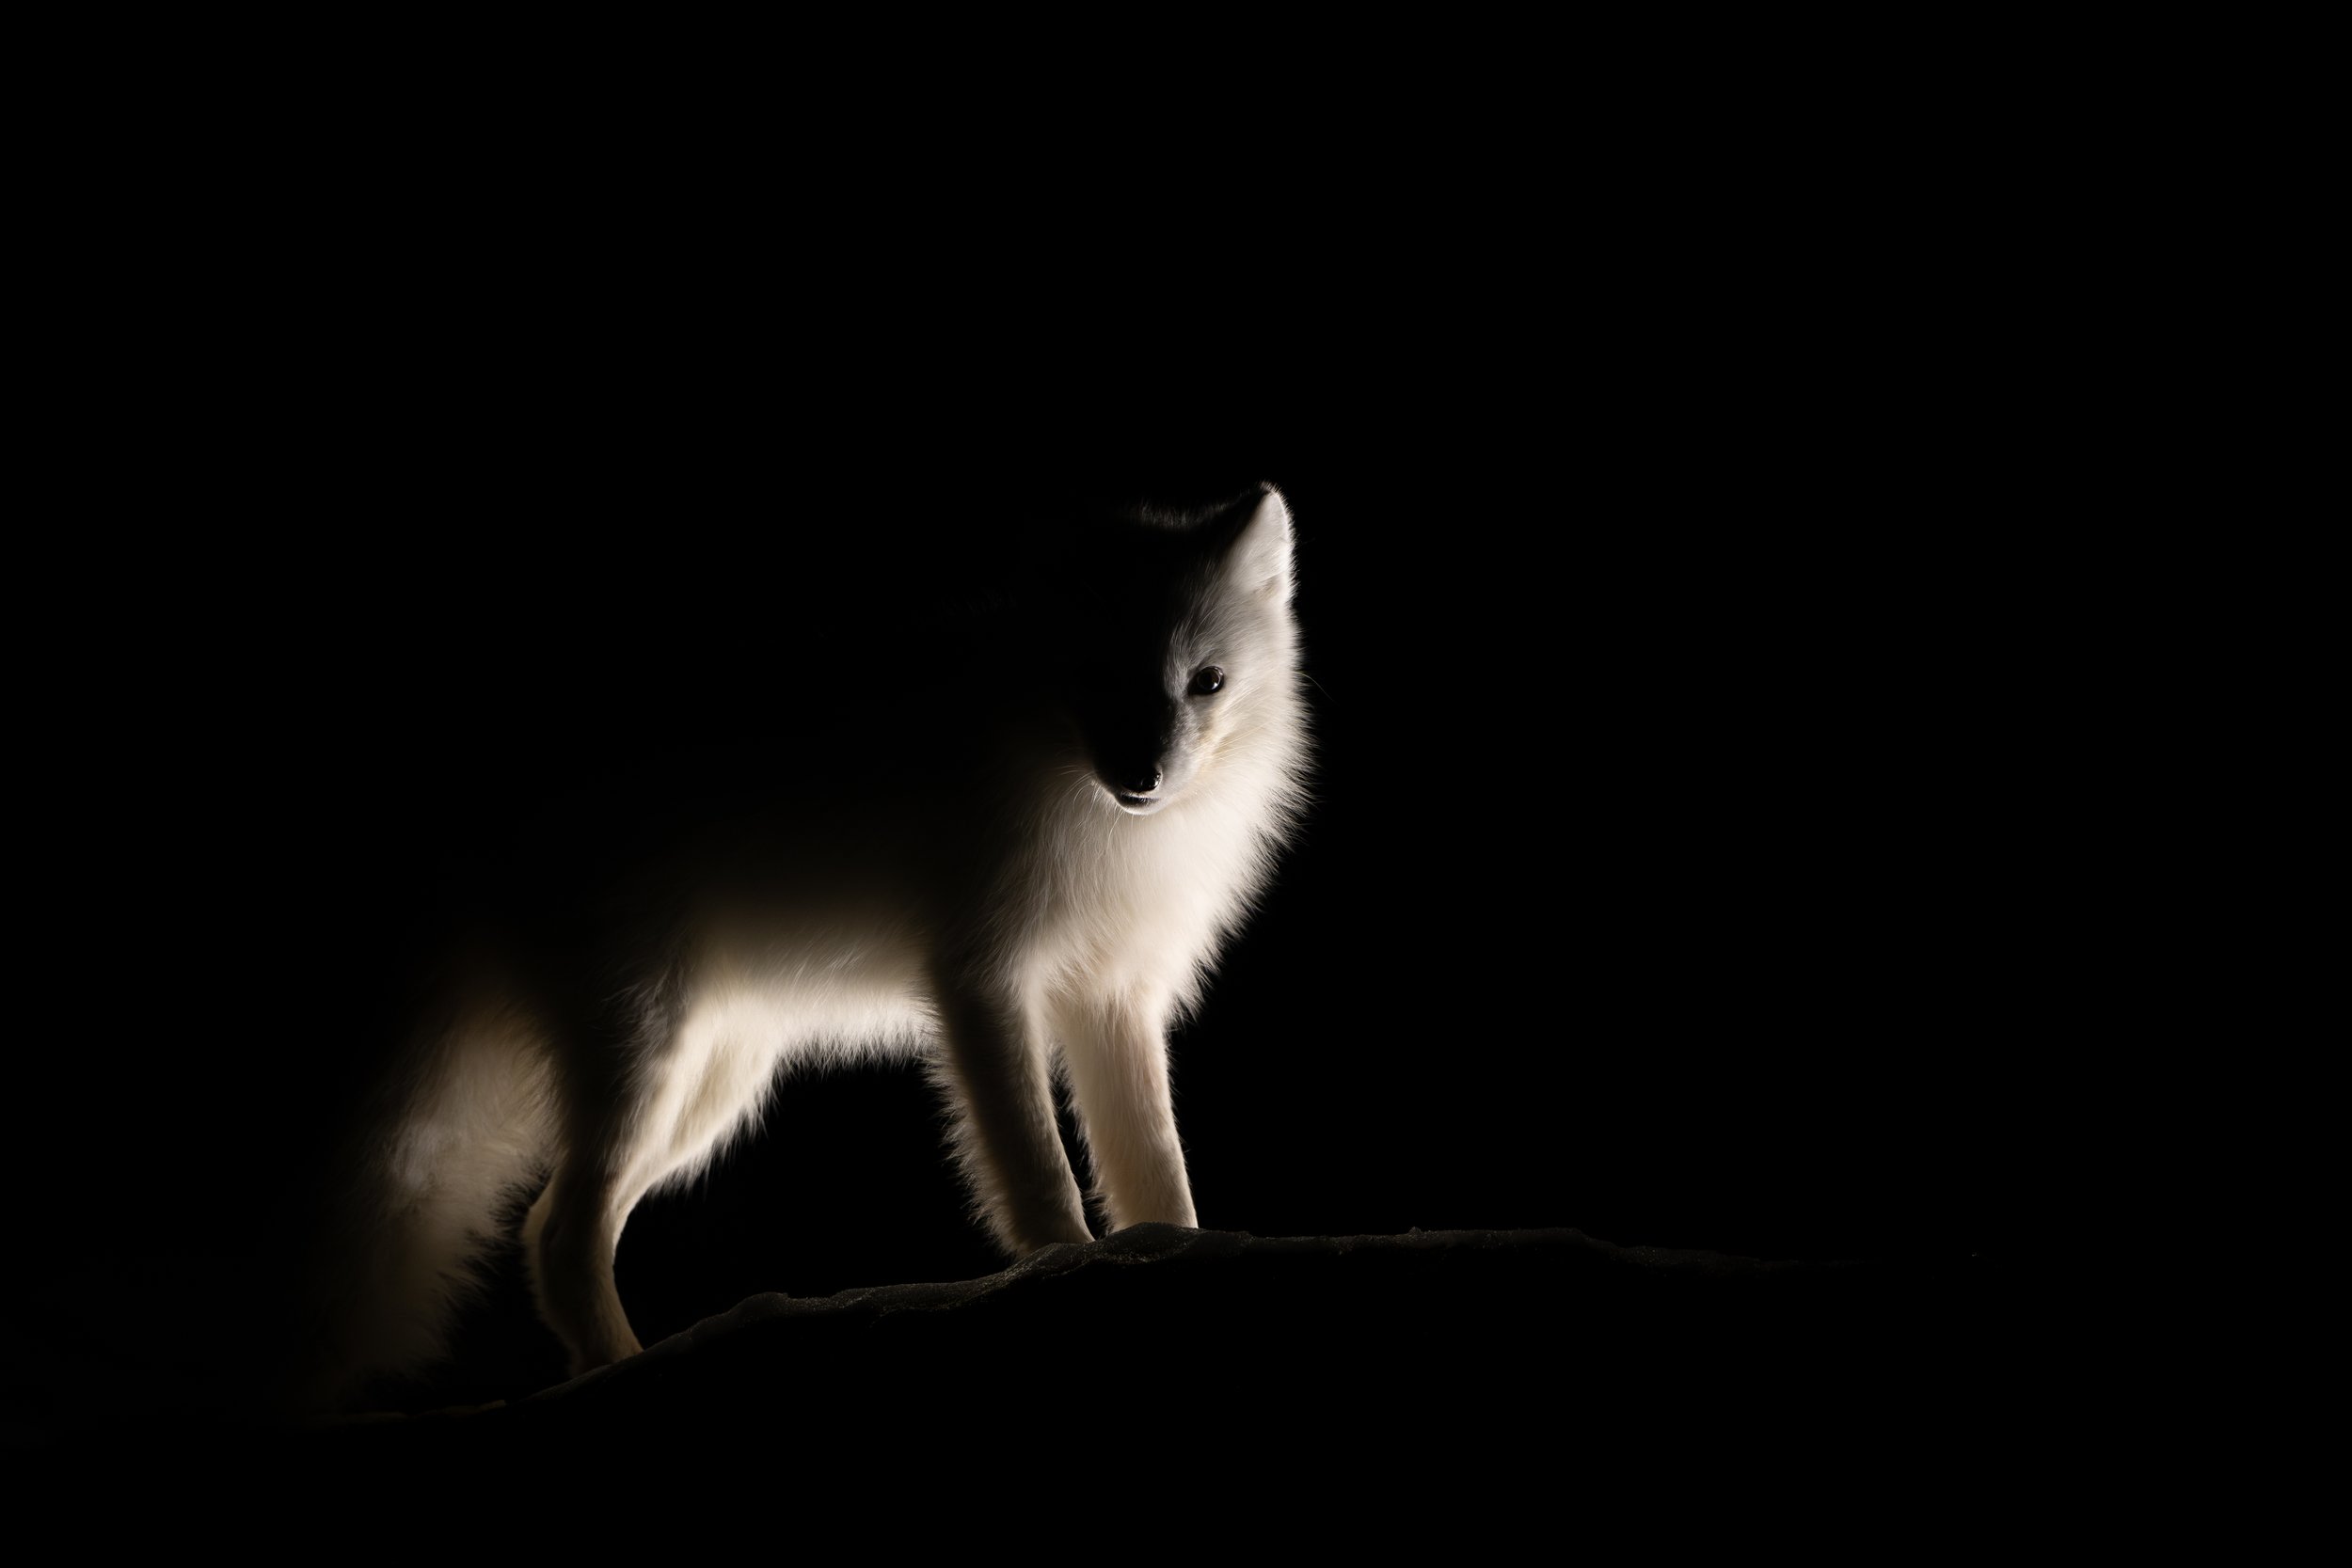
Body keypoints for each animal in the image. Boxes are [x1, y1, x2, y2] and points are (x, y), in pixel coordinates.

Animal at [299, 483, 1311, 1404]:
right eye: (1098, 673)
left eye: (1206, 682)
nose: (1142, 777)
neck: (1088, 809)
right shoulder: (983, 978)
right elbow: (1038, 1166)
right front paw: (1061, 1268)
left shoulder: (1115, 997)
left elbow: (1154, 1167)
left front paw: (1173, 1256)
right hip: (642, 1060)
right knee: (561, 1230)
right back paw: (626, 1368)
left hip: (709, 1093)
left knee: (548, 1223)